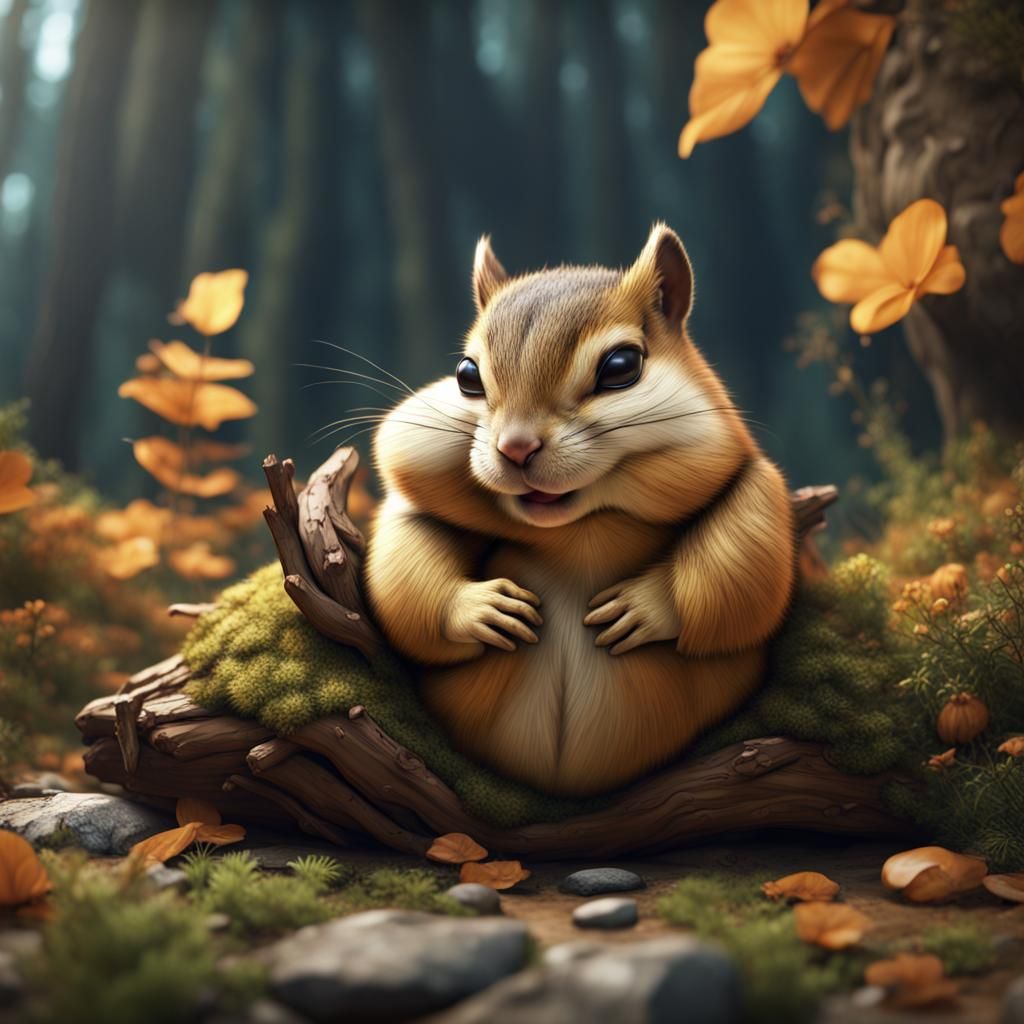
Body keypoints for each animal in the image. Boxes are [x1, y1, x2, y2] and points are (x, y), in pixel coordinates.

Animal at [364, 223, 796, 797]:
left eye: (621, 367)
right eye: (466, 375)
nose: (515, 448)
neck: (580, 529)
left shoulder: (754, 489)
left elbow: (741, 581)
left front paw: (644, 605)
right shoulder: (410, 499)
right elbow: (404, 578)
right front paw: (482, 608)